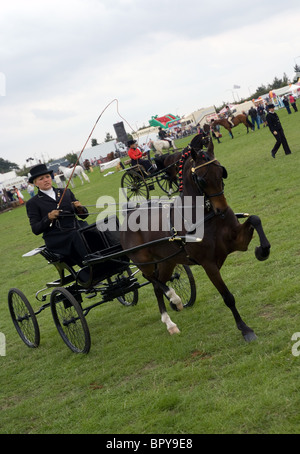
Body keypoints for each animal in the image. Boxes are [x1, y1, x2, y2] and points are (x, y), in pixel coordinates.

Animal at [120, 133, 272, 342]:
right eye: (201, 179)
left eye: (221, 172)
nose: (221, 209)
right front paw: (245, 329)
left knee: (158, 285)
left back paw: (170, 322)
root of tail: (128, 216)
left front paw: (262, 251)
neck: (205, 216)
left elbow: (255, 219)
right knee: (152, 279)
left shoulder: (237, 242)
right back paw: (174, 300)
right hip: (144, 262)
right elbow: (228, 297)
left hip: (167, 261)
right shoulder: (208, 264)